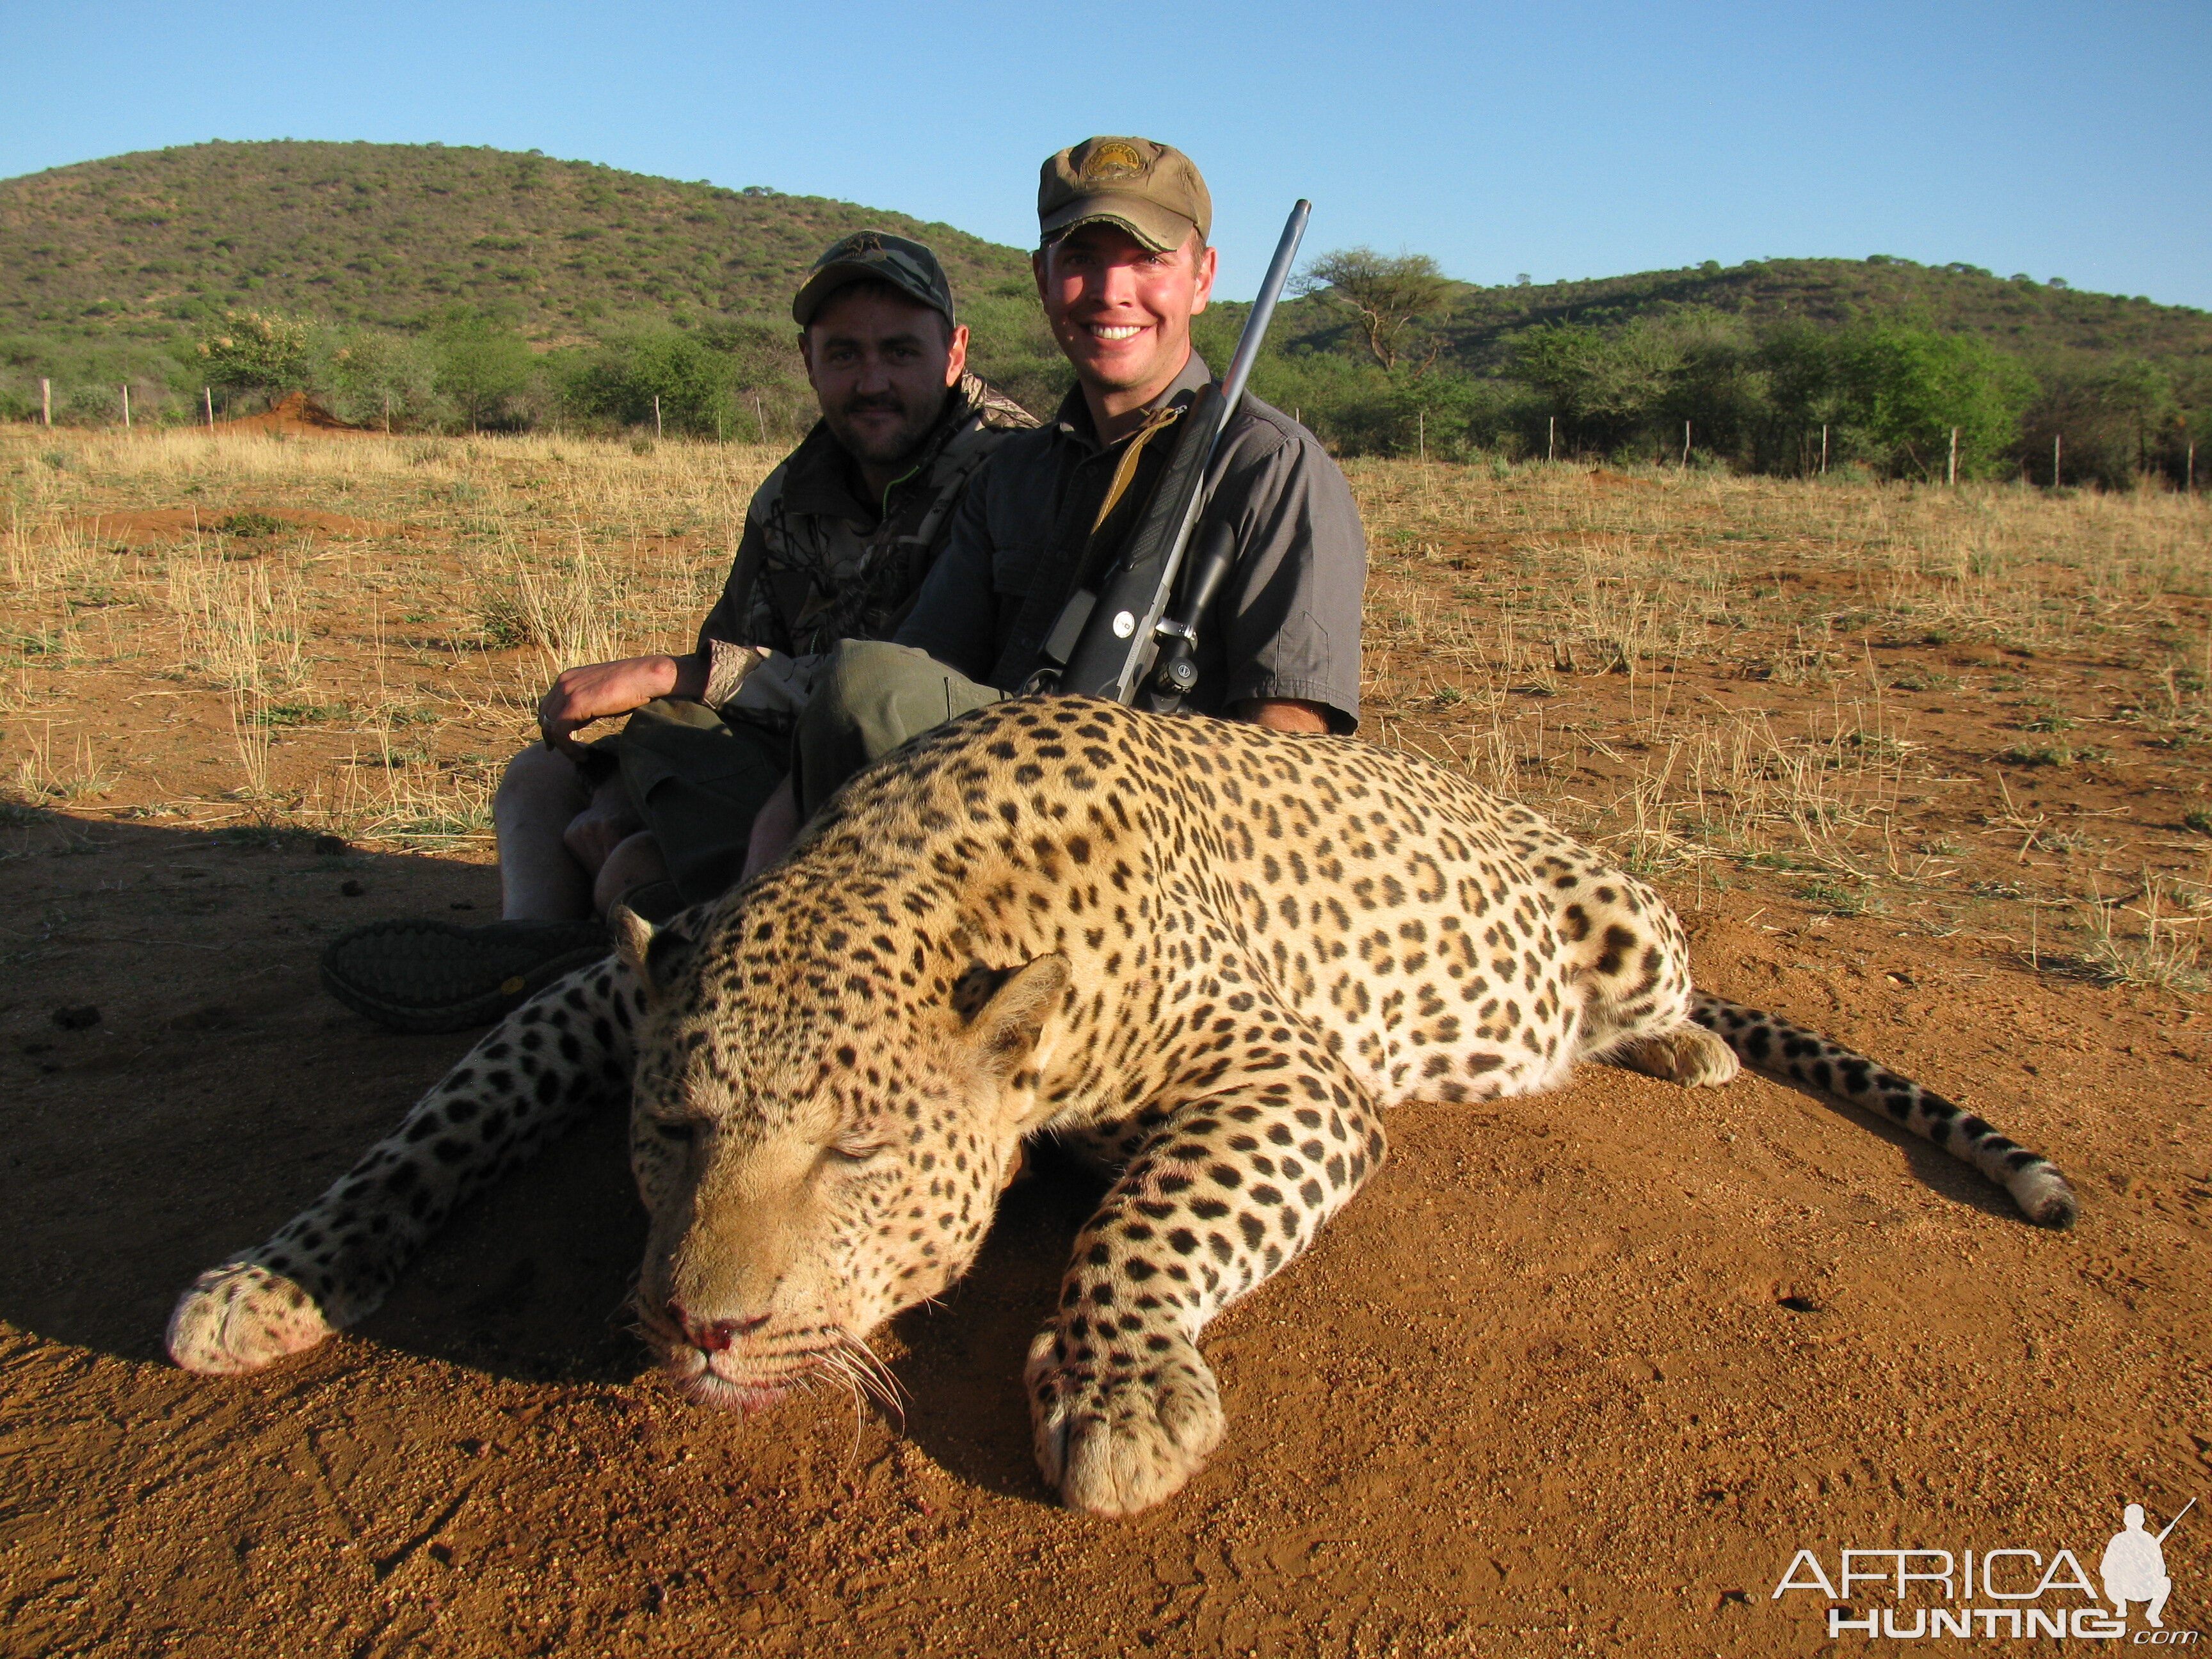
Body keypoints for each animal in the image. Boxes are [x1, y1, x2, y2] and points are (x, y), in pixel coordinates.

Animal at [168, 699, 2070, 1521]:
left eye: (856, 1155)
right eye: (675, 1132)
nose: (705, 1331)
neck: (926, 879)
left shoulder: (1287, 1078)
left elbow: (1147, 1221)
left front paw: (1126, 1391)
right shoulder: (608, 988)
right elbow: (439, 1118)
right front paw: (273, 1273)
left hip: (1618, 916)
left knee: (1671, 990)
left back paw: (1680, 1051)